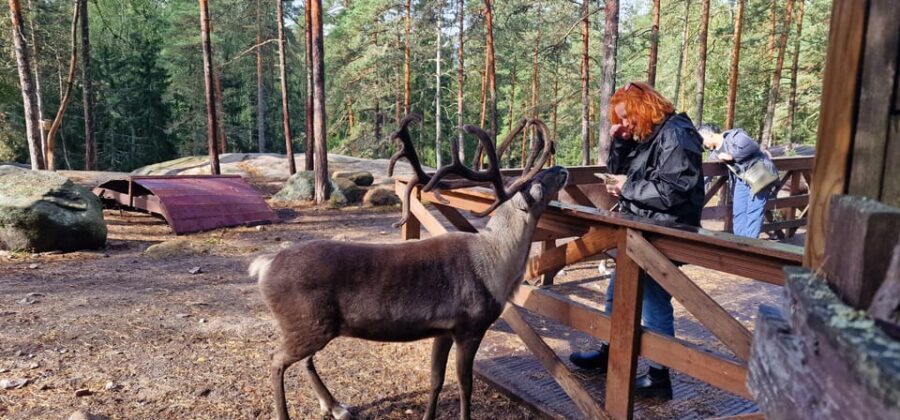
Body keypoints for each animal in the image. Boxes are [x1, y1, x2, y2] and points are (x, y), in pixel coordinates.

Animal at [250, 114, 566, 420]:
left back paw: (336, 407)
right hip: (306, 325)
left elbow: (436, 379)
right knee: (276, 361)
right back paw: (291, 413)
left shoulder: (443, 330)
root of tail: (264, 266)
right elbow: (465, 386)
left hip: (313, 327)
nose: (562, 168)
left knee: (304, 361)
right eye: (539, 184)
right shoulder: (470, 327)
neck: (496, 265)